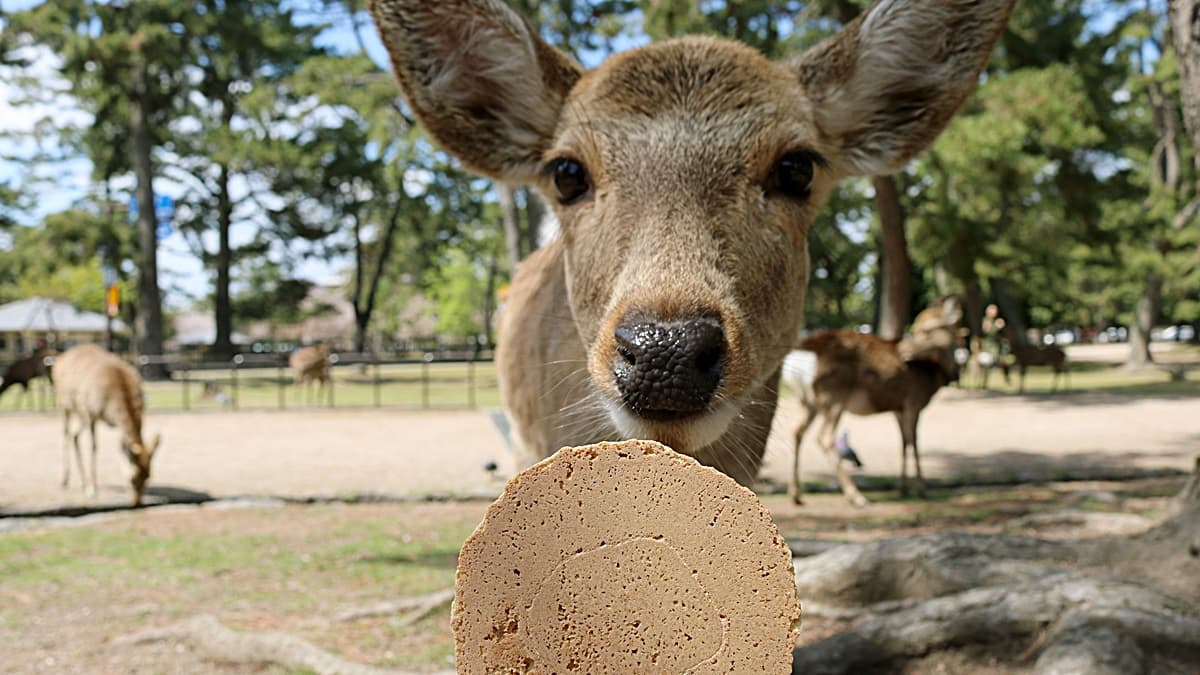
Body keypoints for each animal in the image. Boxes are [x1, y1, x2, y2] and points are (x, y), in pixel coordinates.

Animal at [52, 344, 161, 506]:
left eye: (148, 476)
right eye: (133, 478)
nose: (136, 502)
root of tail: (59, 360)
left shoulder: (118, 426)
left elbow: (121, 448)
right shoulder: (91, 413)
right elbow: (94, 447)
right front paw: (92, 489)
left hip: (79, 412)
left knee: (74, 435)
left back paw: (81, 482)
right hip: (66, 404)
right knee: (67, 433)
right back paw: (66, 481)